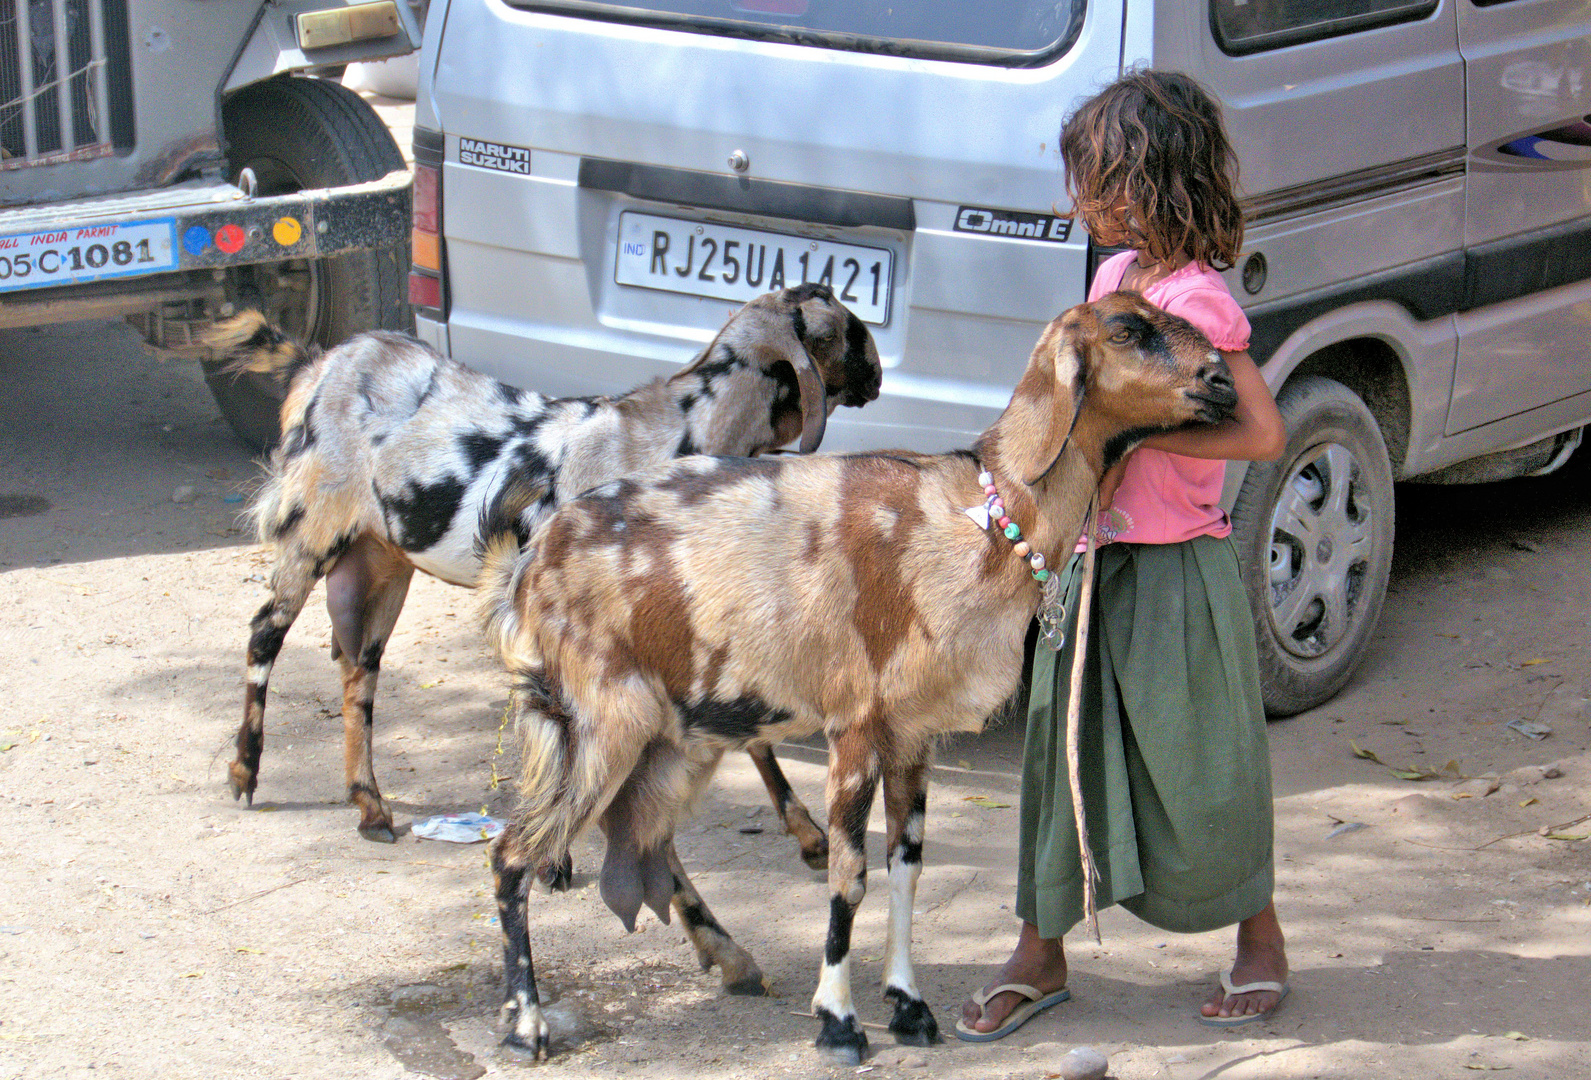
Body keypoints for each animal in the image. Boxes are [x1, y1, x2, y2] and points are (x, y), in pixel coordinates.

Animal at [211, 284, 884, 846]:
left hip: (380, 561)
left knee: (358, 671)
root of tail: (319, 362)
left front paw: (808, 835)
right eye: (850, 331)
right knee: (264, 633)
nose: (878, 376)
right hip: (313, 532)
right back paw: (245, 771)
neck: (674, 433)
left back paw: (371, 807)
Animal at [474, 291, 1240, 1068]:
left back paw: (732, 959)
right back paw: (525, 1024)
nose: (1223, 382)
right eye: (1126, 329)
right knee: (513, 854)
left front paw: (908, 1007)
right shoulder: (854, 726)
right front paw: (839, 1022)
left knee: (645, 839)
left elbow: (905, 869)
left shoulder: (912, 737)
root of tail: (528, 566)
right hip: (602, 724)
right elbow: (851, 878)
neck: (978, 517)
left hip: (674, 738)